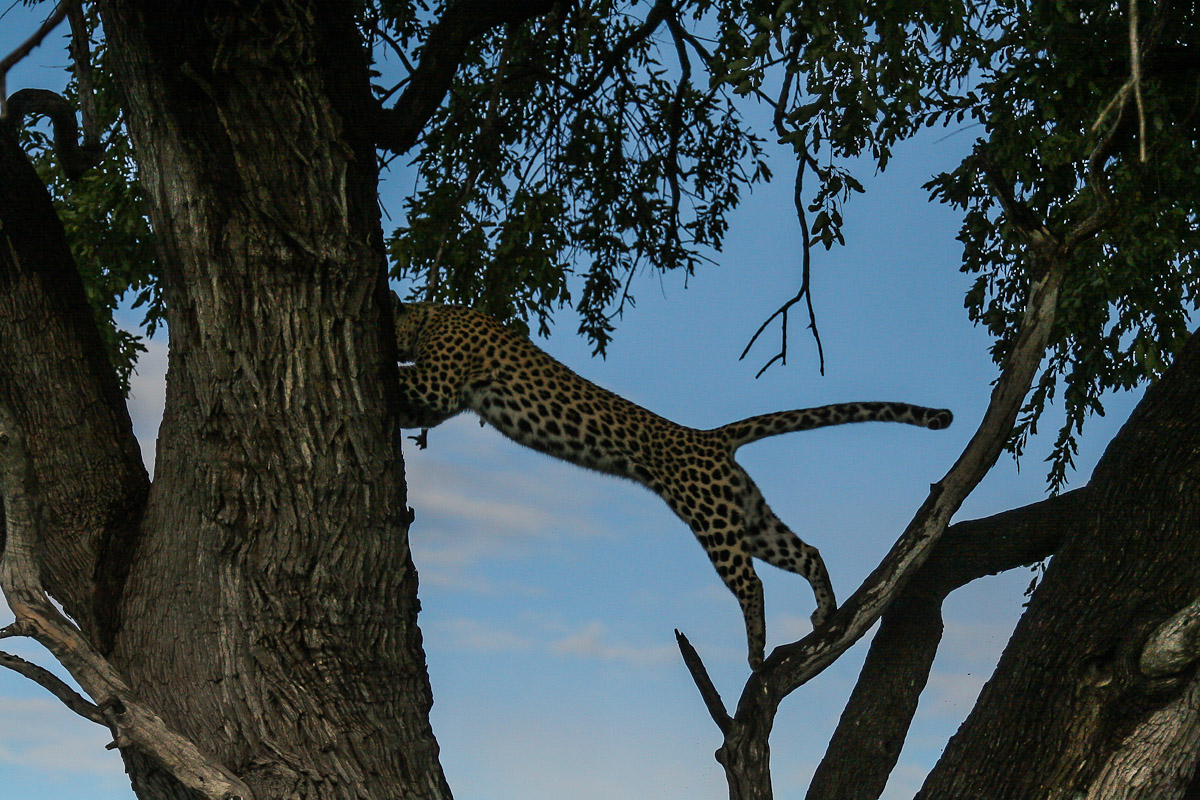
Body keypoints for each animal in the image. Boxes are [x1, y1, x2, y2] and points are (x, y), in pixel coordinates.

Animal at [392, 299, 952, 668]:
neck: (433, 313)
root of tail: (710, 438)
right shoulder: (438, 400)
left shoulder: (438, 383)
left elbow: (407, 383)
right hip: (748, 516)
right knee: (807, 550)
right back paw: (826, 613)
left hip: (713, 522)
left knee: (751, 582)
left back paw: (756, 651)